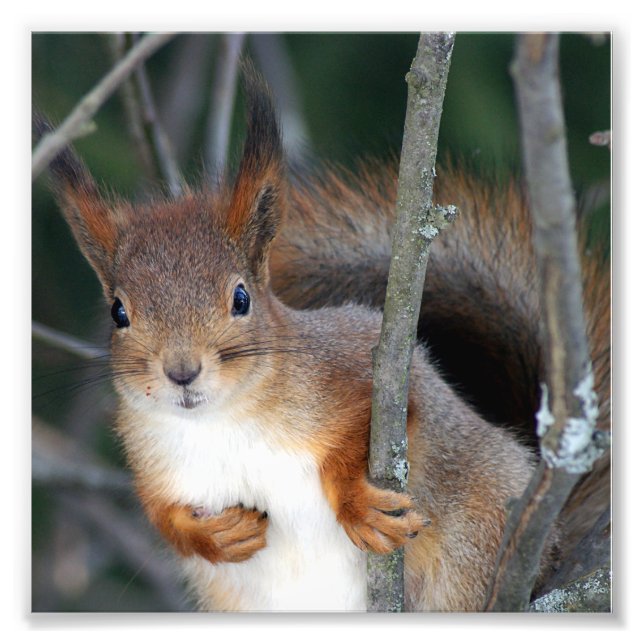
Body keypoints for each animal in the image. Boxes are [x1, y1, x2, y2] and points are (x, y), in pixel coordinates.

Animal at [35, 65, 609, 611]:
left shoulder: (361, 359)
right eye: (118, 312)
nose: (181, 372)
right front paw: (213, 537)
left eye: (241, 298)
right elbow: (161, 516)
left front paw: (356, 502)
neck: (221, 421)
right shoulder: (152, 462)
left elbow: (389, 418)